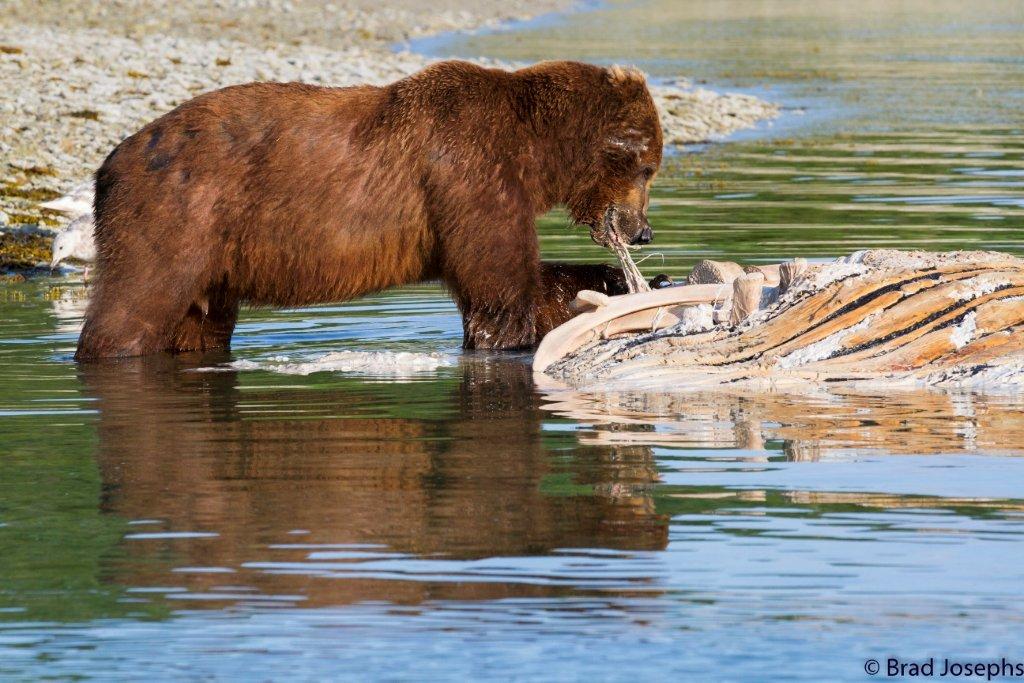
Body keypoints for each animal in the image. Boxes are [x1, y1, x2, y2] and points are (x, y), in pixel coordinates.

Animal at [74, 58, 663, 360]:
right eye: (648, 167)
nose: (643, 232)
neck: (533, 150)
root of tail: (110, 161)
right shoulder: (467, 175)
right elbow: (501, 293)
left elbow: (524, 281)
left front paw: (627, 283)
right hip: (177, 212)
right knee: (134, 303)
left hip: (212, 257)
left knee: (202, 323)